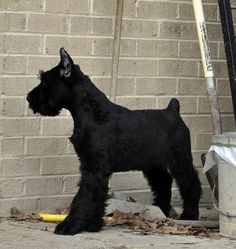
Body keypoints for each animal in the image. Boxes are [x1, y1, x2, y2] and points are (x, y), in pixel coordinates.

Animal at [26, 48, 202, 235]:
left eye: (45, 82)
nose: (29, 98)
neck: (93, 113)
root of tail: (173, 110)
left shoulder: (95, 168)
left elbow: (84, 197)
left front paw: (70, 225)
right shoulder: (94, 167)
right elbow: (97, 196)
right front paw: (93, 225)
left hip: (179, 159)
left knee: (190, 184)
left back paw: (190, 215)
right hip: (153, 165)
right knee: (163, 182)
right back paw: (160, 209)